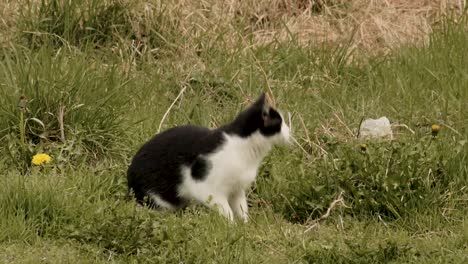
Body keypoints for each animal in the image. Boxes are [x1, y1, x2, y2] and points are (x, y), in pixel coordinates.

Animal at [127, 94, 288, 222]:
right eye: (280, 122)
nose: (289, 130)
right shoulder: (205, 187)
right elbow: (226, 211)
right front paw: (231, 226)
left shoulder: (237, 189)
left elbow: (241, 209)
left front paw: (245, 226)